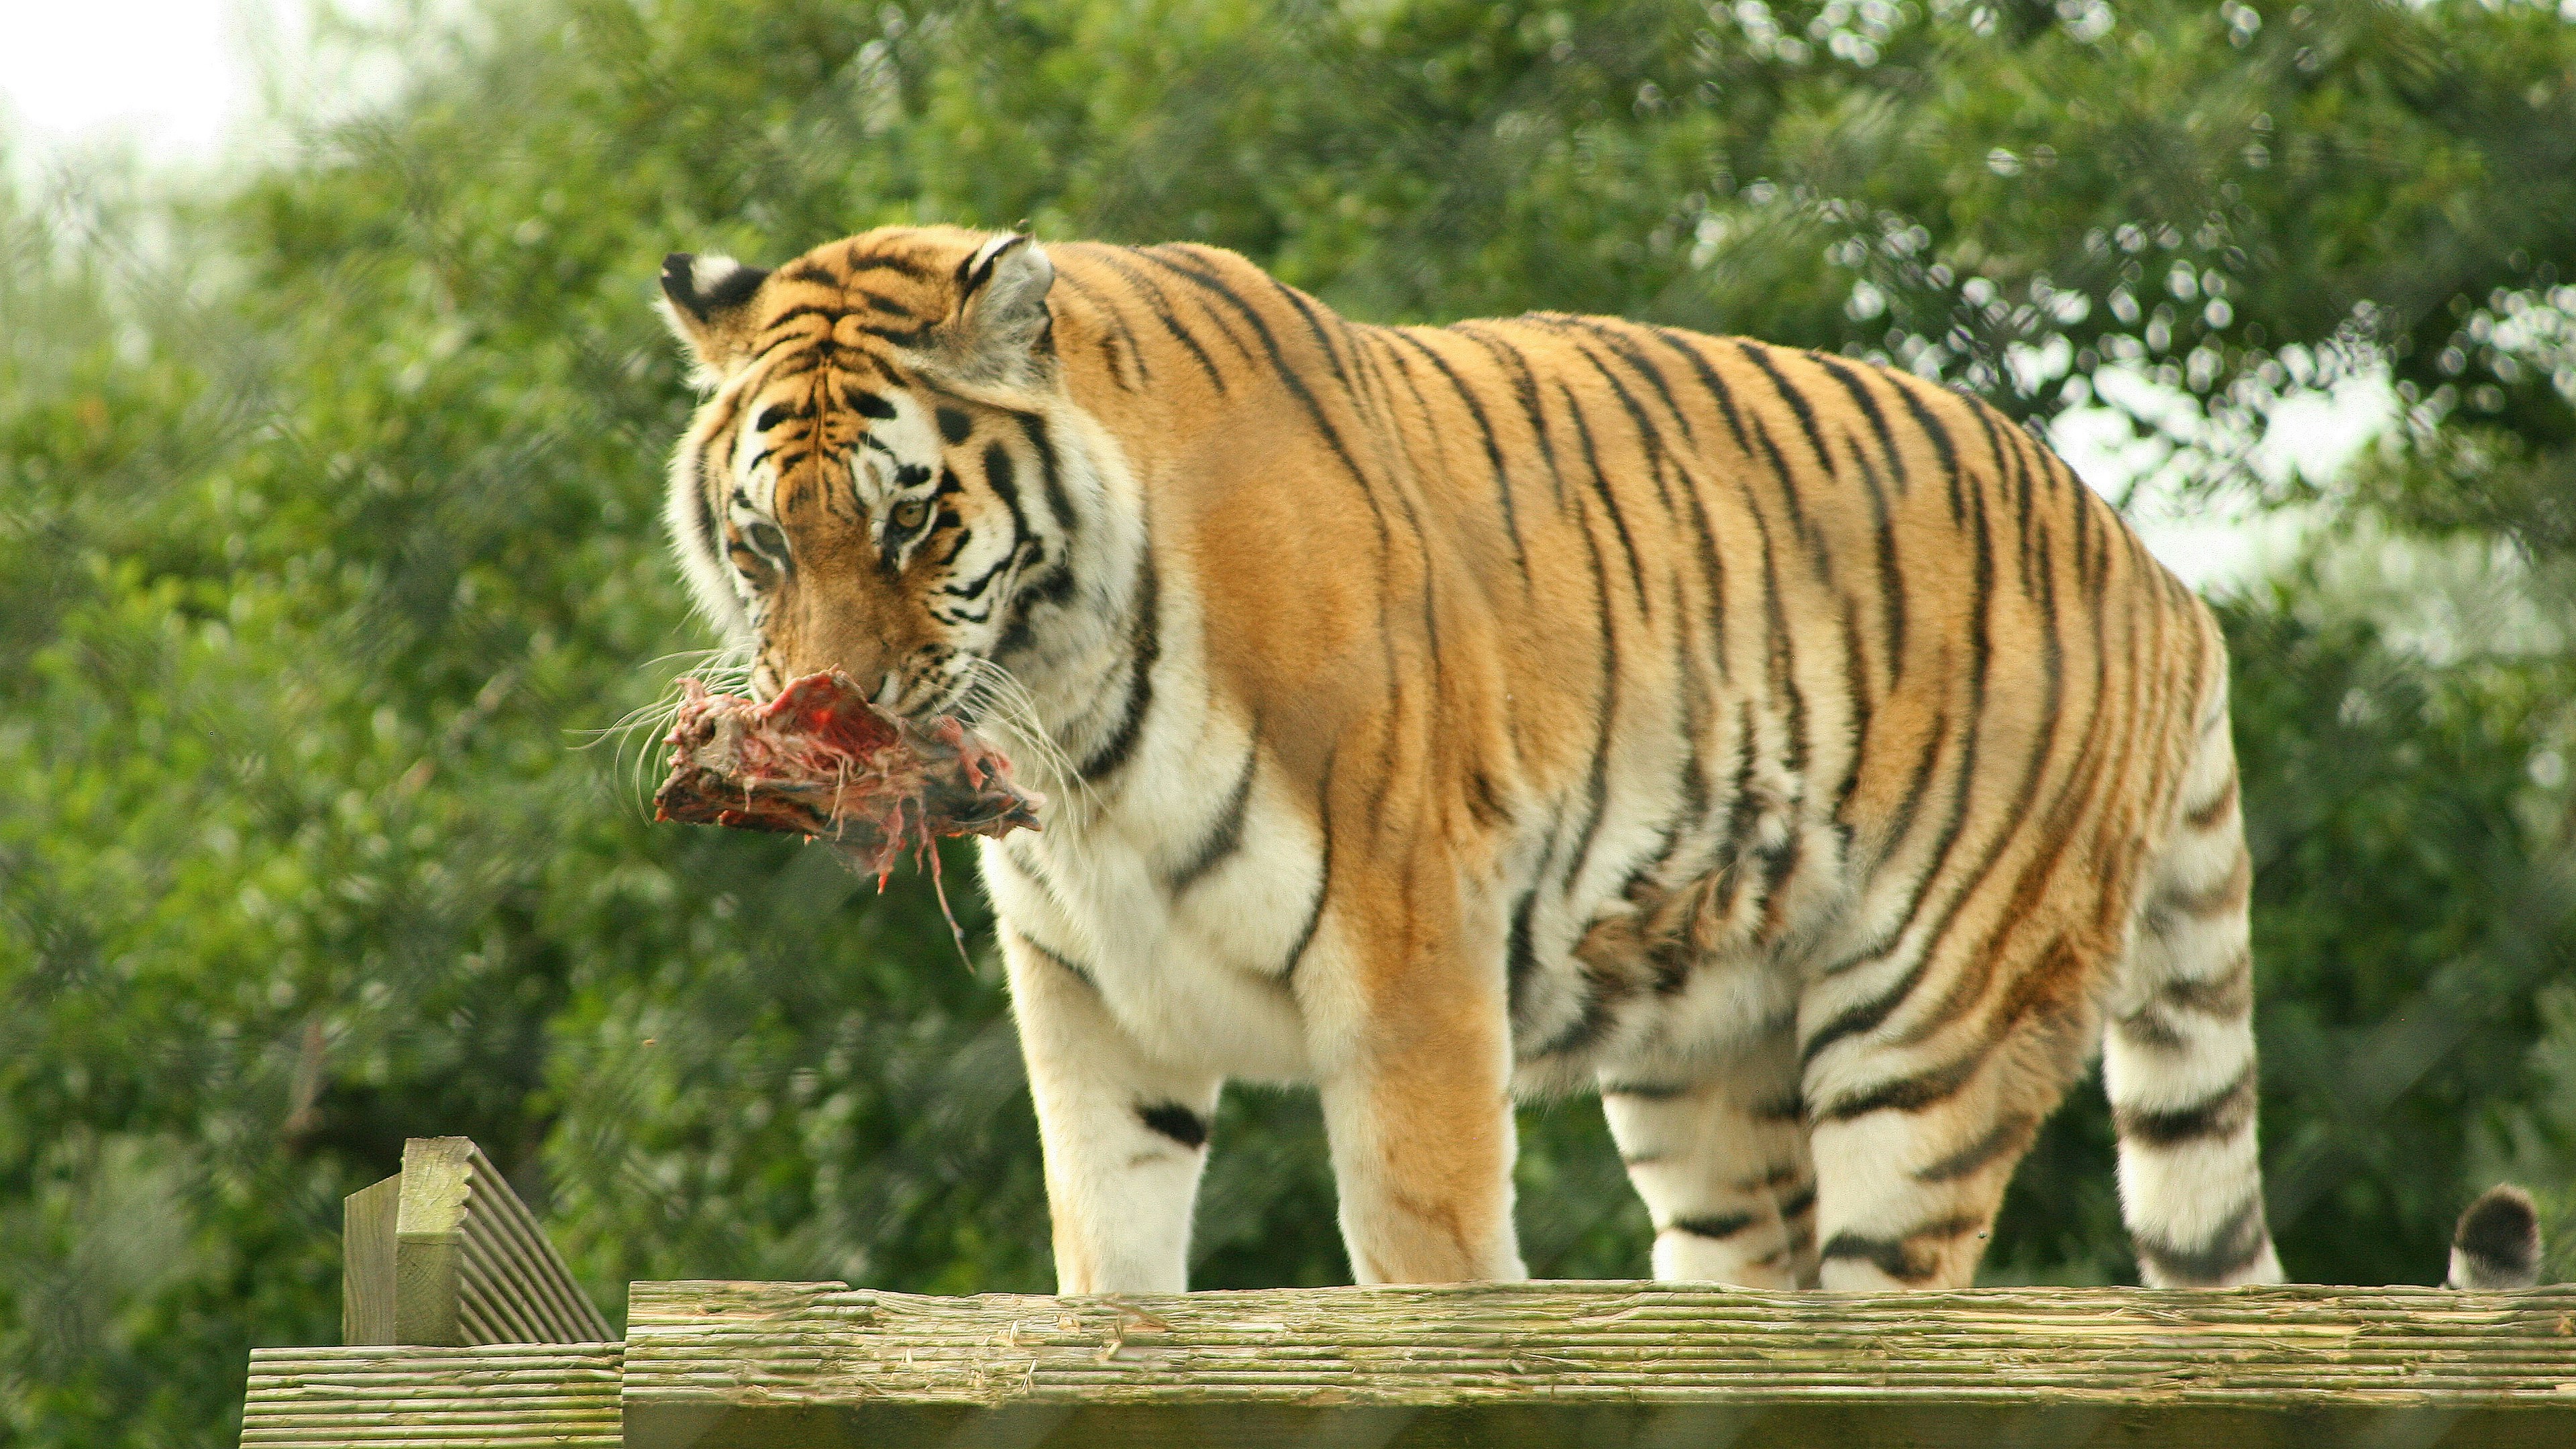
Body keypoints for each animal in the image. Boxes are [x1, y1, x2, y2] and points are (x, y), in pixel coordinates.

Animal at [653, 224, 2540, 1294]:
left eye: (909, 523)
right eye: (764, 541)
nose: (829, 713)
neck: (1077, 733)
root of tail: (2161, 574)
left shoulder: (1406, 944)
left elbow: (1423, 1255)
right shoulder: (1094, 996)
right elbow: (1108, 1270)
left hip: (1934, 1029)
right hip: (1713, 1083)